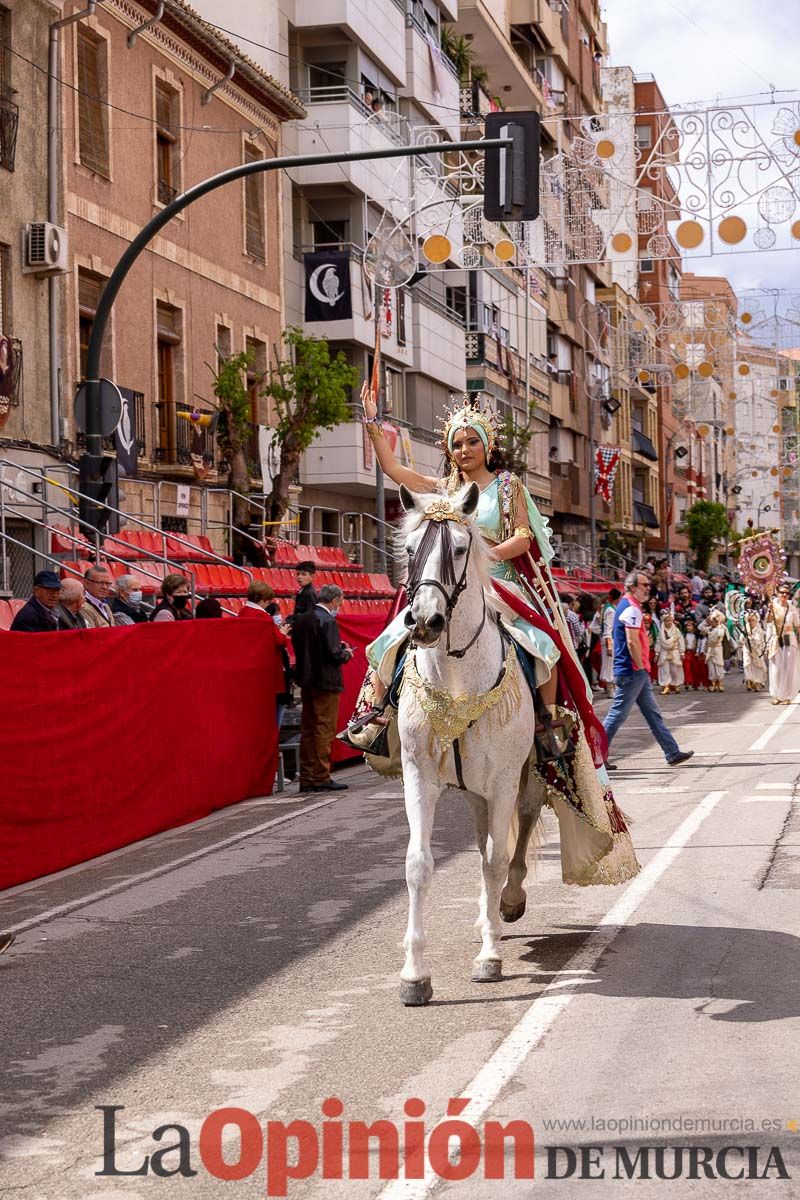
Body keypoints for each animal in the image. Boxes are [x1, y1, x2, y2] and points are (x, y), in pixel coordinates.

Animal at [398, 482, 546, 1008]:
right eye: (409, 549)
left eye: (460, 549)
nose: (425, 621)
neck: (460, 675)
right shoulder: (419, 775)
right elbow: (419, 865)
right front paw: (414, 975)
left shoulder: (503, 777)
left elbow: (498, 858)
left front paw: (490, 956)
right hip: (475, 790)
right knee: (484, 845)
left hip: (528, 770)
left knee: (521, 823)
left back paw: (510, 902)